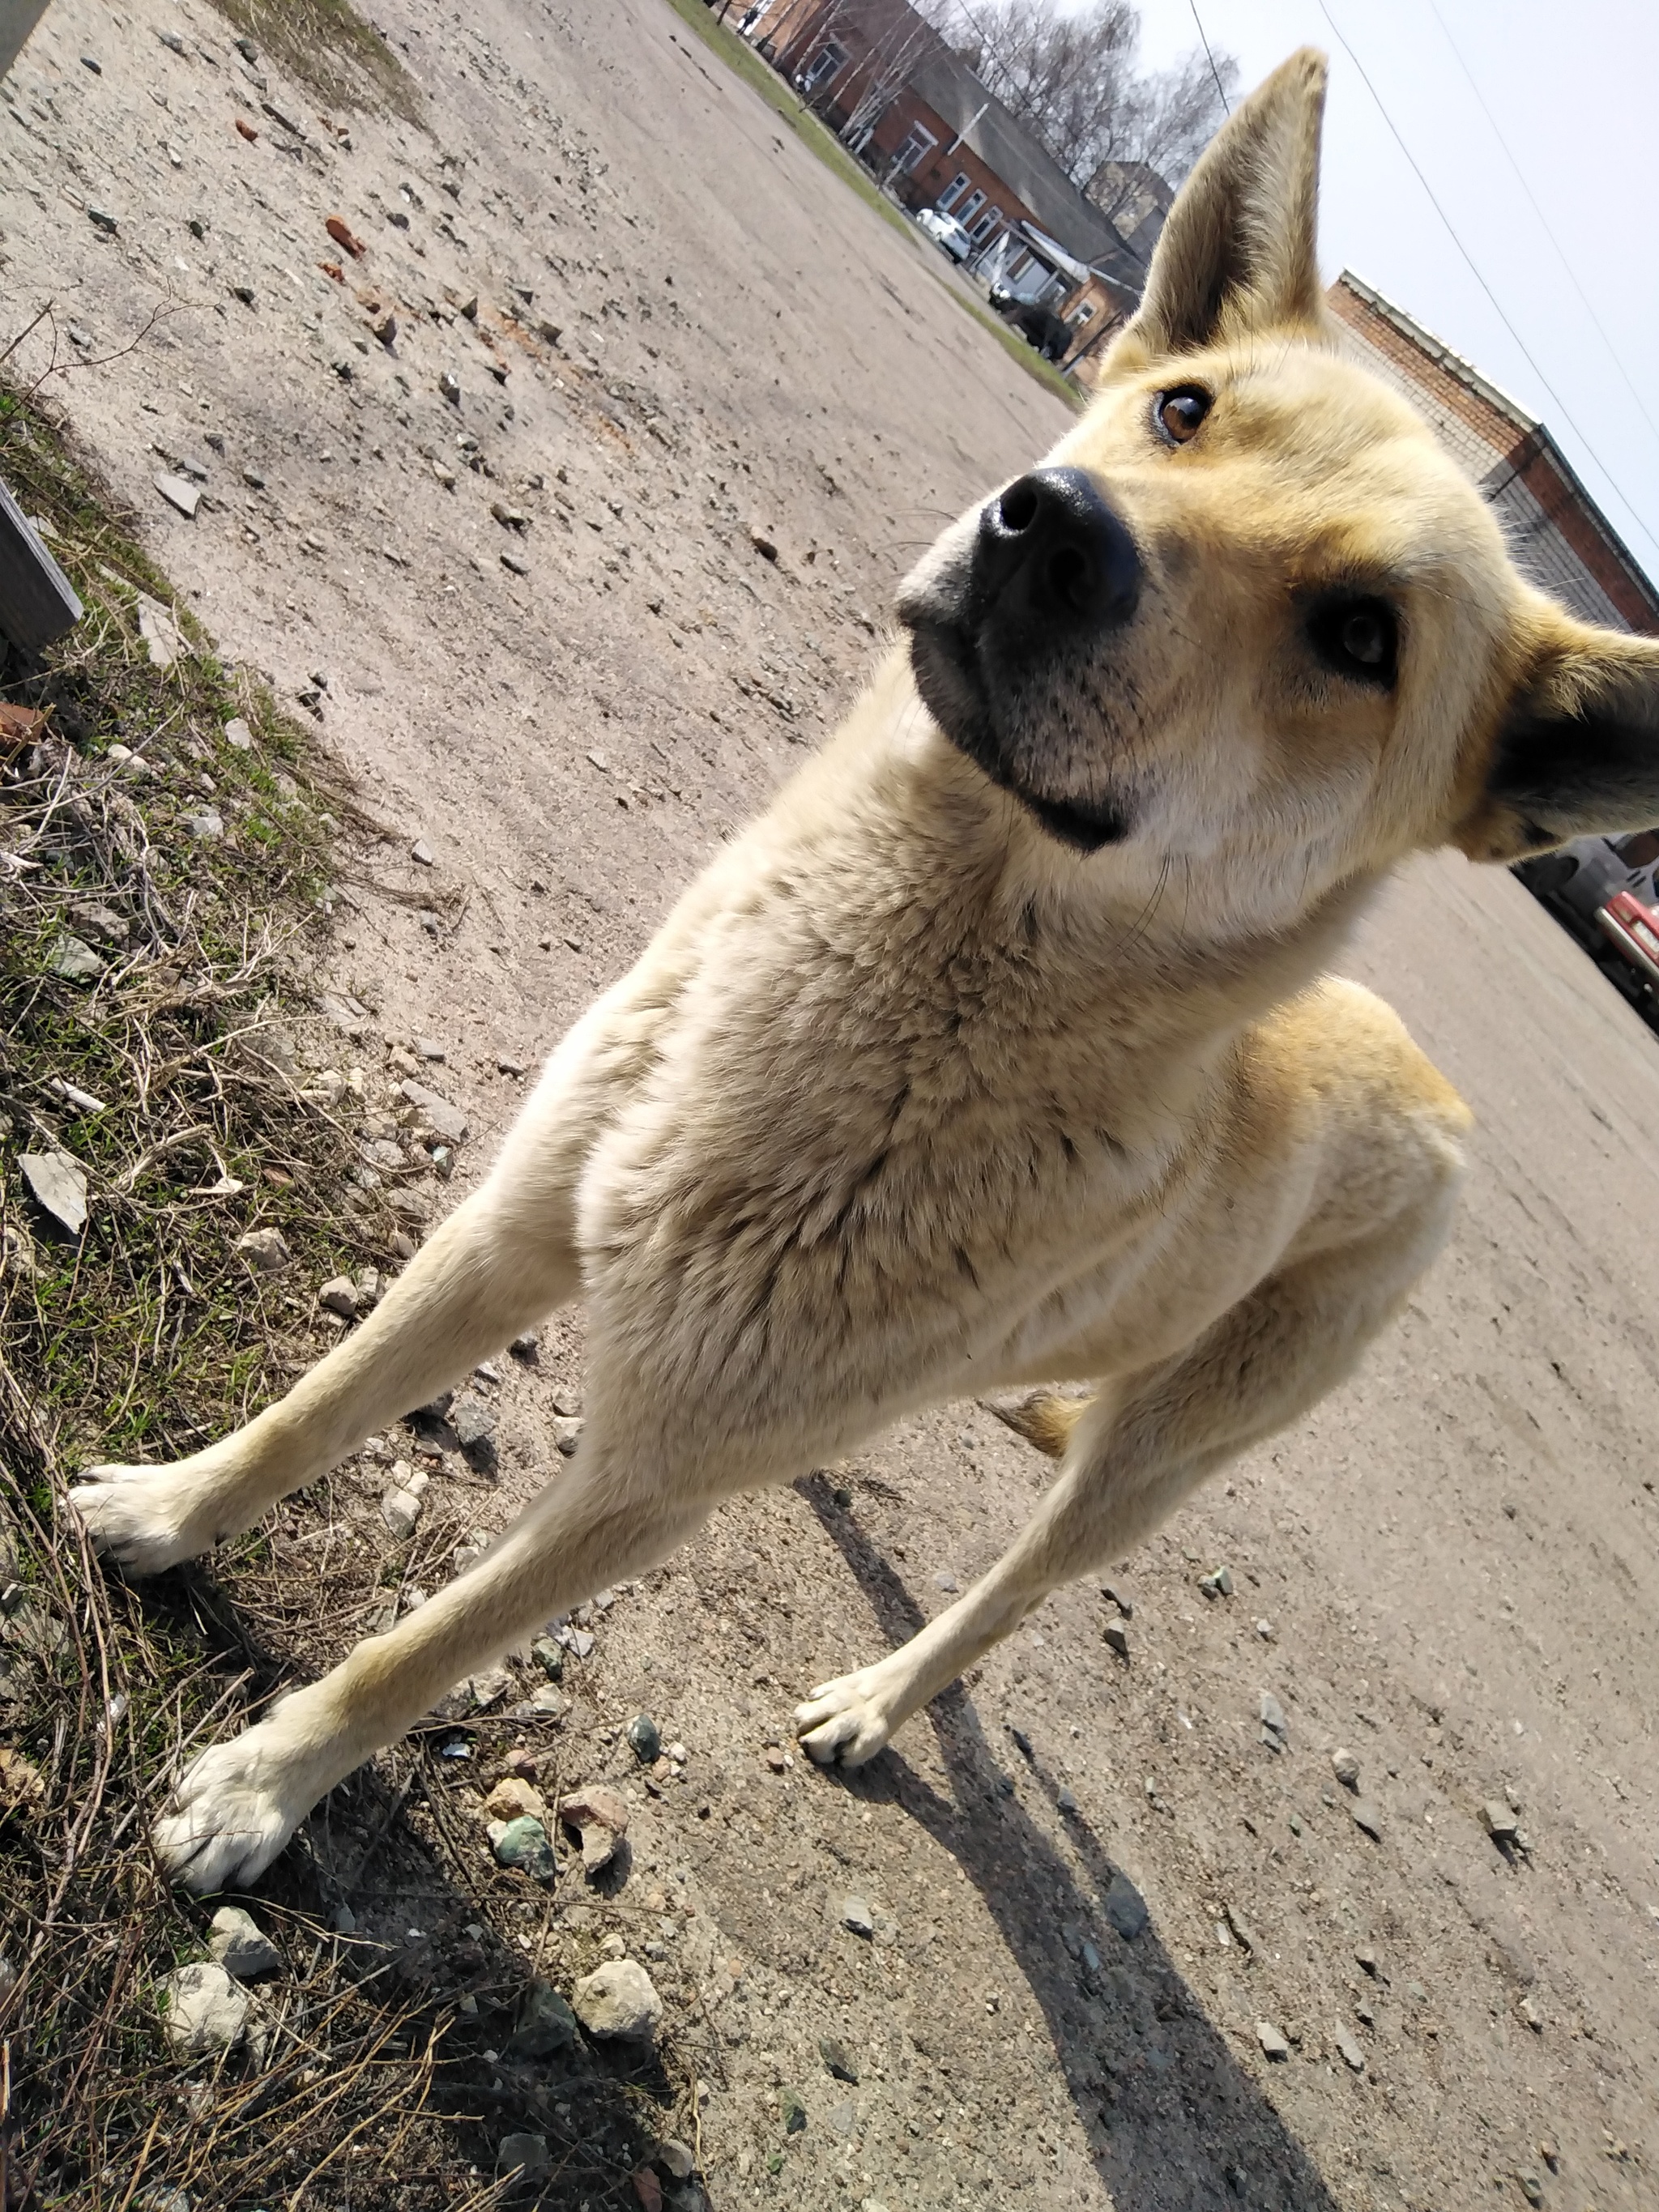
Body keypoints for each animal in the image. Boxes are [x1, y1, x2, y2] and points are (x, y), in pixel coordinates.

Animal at [71, 47, 1659, 1884]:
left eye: (1361, 636)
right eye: (1184, 413)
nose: (1051, 531)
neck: (876, 980)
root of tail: (1445, 1100)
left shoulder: (657, 1473)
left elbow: (427, 1646)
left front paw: (263, 1787)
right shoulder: (512, 1224)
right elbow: (314, 1408)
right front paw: (170, 1509)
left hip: (1153, 1461)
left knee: (1006, 1595)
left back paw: (877, 1704)